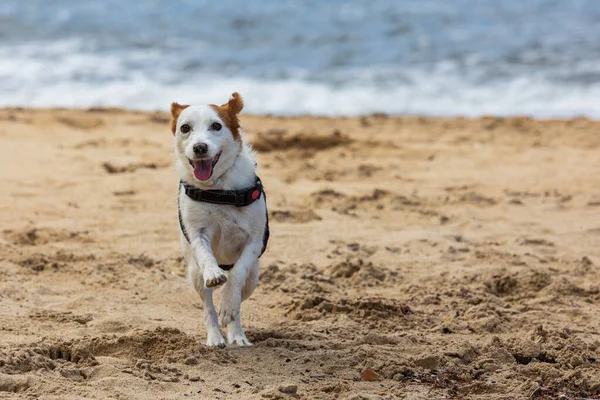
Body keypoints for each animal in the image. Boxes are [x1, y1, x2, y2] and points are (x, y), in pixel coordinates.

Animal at [171, 94, 270, 346]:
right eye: (185, 128)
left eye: (216, 126)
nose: (200, 147)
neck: (218, 189)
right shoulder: (197, 234)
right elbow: (206, 255)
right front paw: (215, 275)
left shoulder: (254, 241)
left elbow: (236, 275)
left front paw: (228, 305)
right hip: (196, 276)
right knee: (208, 307)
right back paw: (215, 337)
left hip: (253, 279)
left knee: (238, 302)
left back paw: (236, 334)